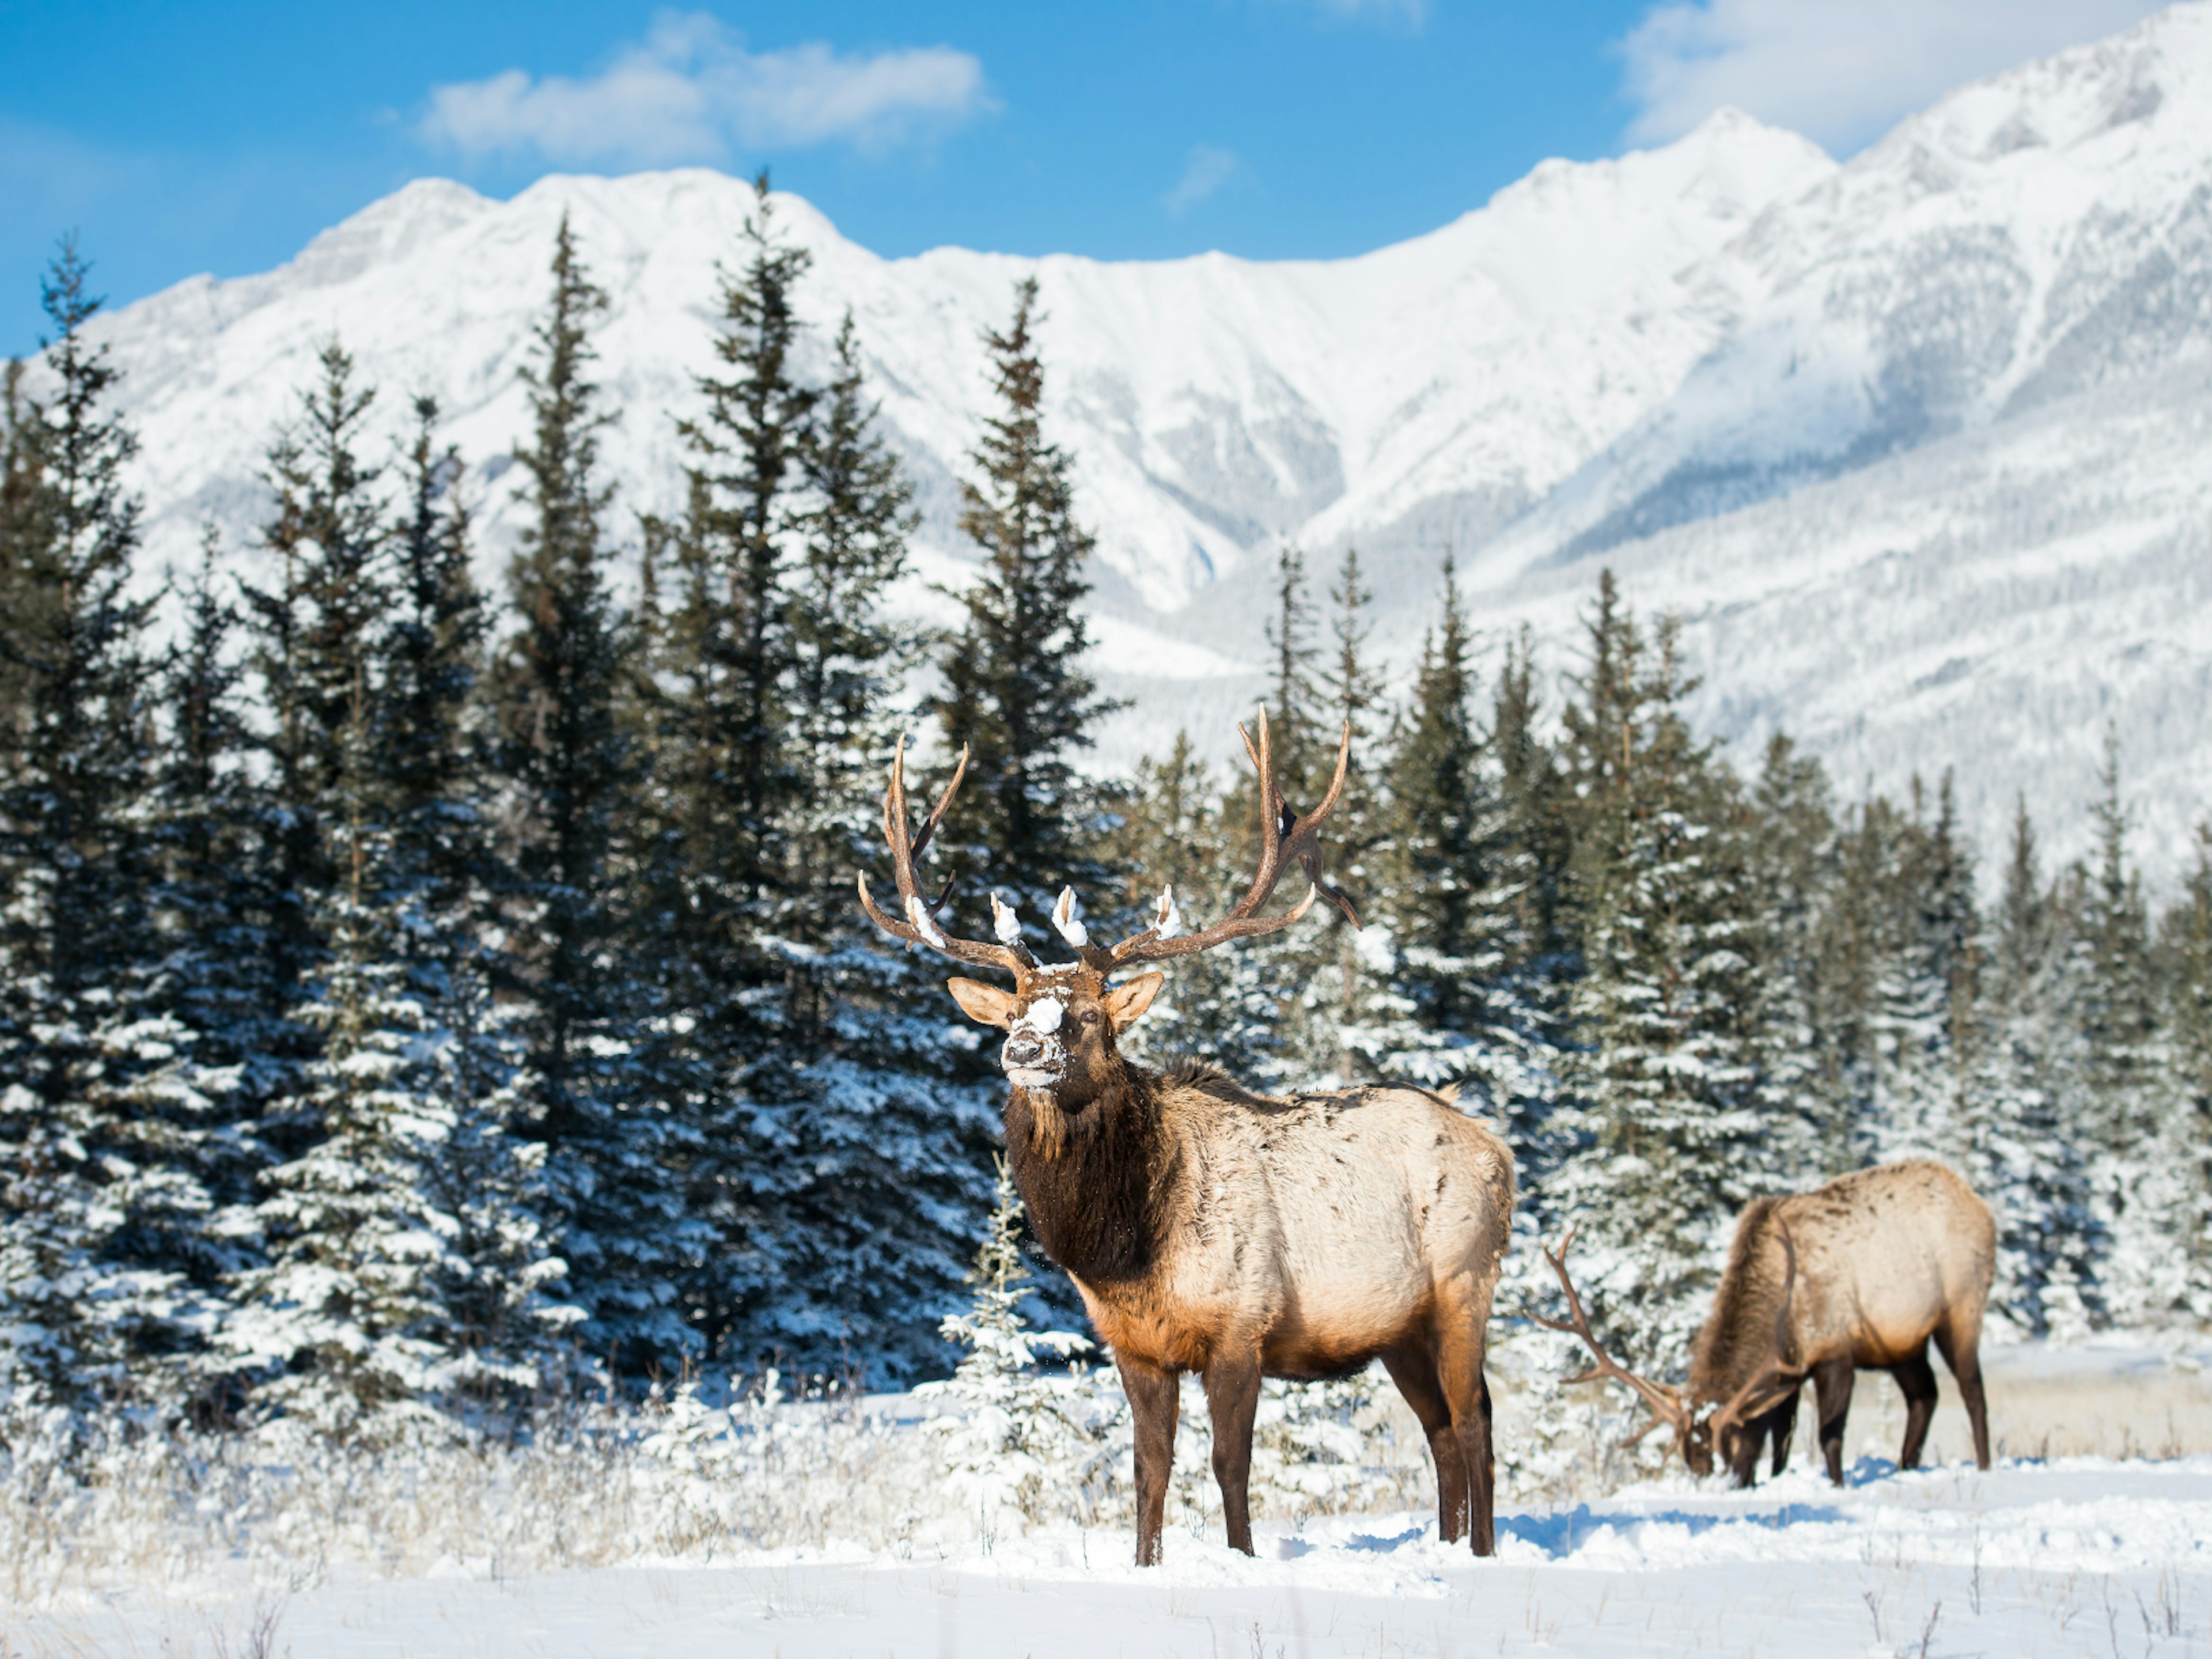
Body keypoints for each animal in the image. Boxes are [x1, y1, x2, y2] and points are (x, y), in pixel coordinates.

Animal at [862, 721, 1521, 1566]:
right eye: (1012, 1012)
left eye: (1090, 1017)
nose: (1024, 1049)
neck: (1125, 1250)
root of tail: (1500, 1151)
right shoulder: (1134, 1345)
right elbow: (1150, 1470)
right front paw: (1145, 1562)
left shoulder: (1241, 1325)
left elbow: (1229, 1465)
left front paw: (1240, 1558)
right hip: (1398, 1326)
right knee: (1438, 1430)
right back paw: (1447, 1544)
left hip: (1466, 1284)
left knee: (1476, 1423)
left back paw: (1483, 1555)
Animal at [1539, 1159, 2008, 1486]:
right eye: (1691, 1460)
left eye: (1737, 1437)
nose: (1724, 1483)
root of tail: (1981, 1204)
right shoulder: (1792, 1370)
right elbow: (1784, 1436)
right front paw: (1781, 1480)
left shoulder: (1835, 1350)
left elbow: (1829, 1435)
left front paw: (1836, 1484)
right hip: (1902, 1342)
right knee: (1925, 1395)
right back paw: (1905, 1467)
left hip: (1963, 1304)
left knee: (1972, 1390)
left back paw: (1985, 1466)